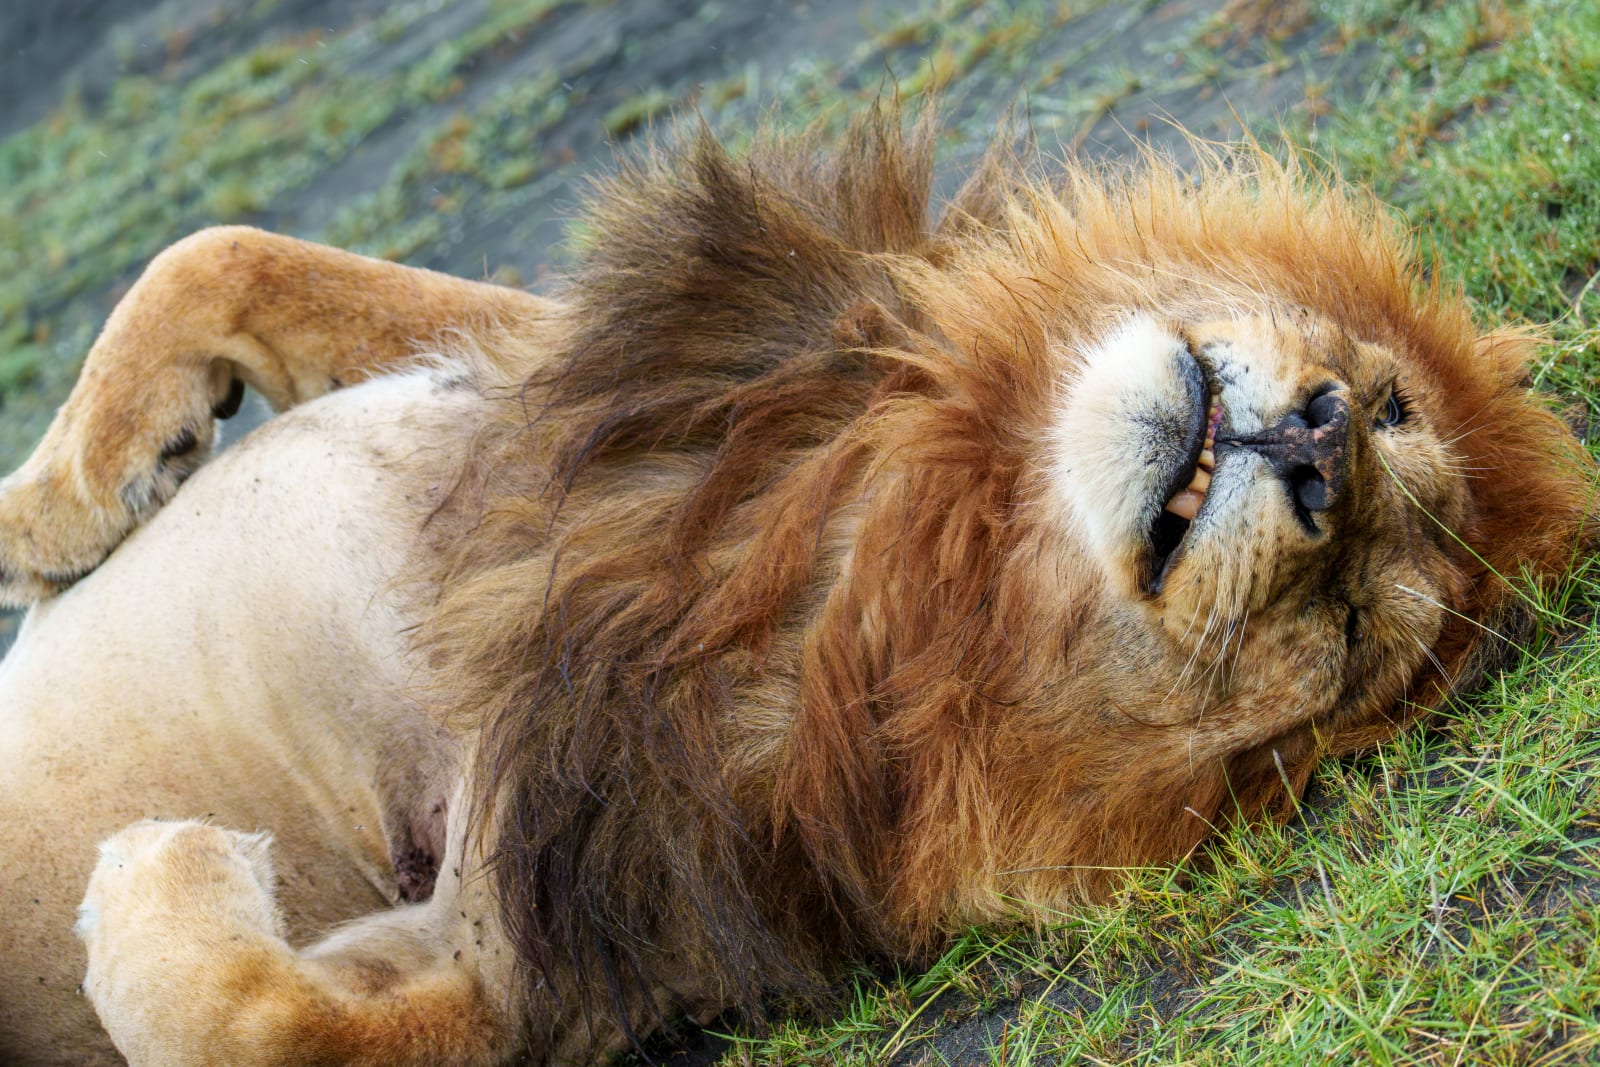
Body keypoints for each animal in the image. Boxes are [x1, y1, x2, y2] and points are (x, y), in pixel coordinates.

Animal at [0, 110, 1592, 1065]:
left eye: (1351, 625)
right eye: (1385, 407)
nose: (1320, 447)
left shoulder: (537, 947)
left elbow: (257, 1015)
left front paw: (169, 863)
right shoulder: (545, 398)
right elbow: (225, 255)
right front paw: (56, 509)